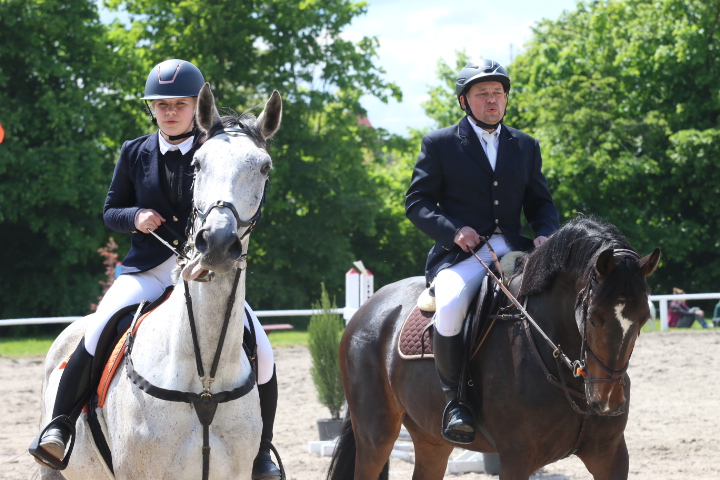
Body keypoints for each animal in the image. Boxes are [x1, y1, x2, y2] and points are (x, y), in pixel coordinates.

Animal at [330, 218, 660, 480]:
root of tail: (369, 307)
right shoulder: (516, 458)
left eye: (643, 318)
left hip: (430, 439)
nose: (608, 402)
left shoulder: (610, 455)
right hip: (376, 435)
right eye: (593, 318)